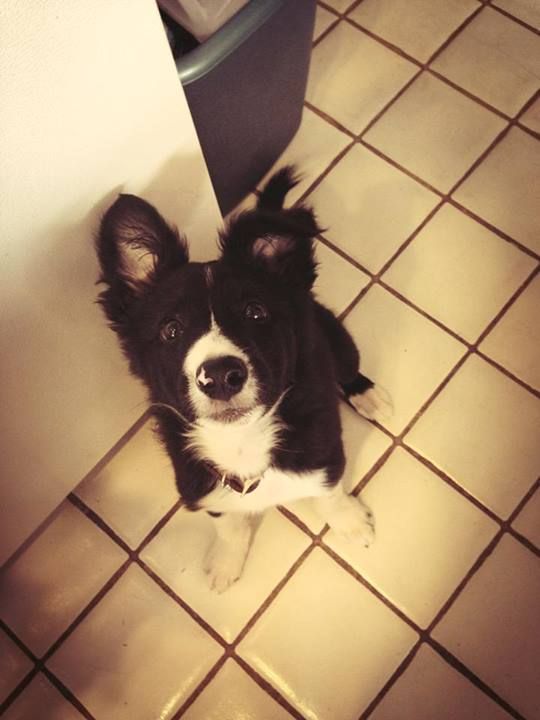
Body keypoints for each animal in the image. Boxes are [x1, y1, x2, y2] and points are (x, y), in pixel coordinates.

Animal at [96, 167, 391, 592]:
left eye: (255, 312)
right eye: (171, 329)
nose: (220, 376)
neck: (242, 440)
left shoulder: (324, 450)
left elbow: (328, 493)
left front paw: (351, 524)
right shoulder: (198, 483)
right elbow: (228, 521)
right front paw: (225, 562)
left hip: (335, 338)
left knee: (349, 368)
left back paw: (369, 396)